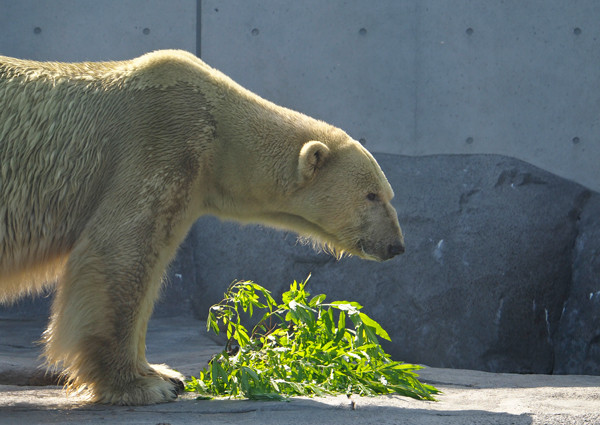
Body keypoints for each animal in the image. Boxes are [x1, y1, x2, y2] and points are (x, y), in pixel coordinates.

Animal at [0, 50, 406, 404]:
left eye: (389, 194)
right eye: (372, 195)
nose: (396, 246)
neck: (219, 130)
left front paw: (163, 372)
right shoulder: (161, 142)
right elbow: (119, 250)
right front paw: (145, 385)